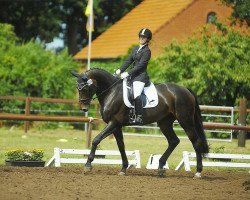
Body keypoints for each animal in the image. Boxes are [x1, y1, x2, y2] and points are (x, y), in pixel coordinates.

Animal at [70, 68, 209, 177]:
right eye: (77, 88)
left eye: (85, 88)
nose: (84, 108)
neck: (112, 92)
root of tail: (186, 90)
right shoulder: (116, 126)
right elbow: (121, 145)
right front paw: (123, 168)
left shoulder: (113, 123)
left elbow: (96, 140)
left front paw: (88, 165)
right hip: (164, 123)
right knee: (173, 141)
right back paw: (160, 168)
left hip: (185, 120)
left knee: (196, 142)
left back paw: (198, 172)